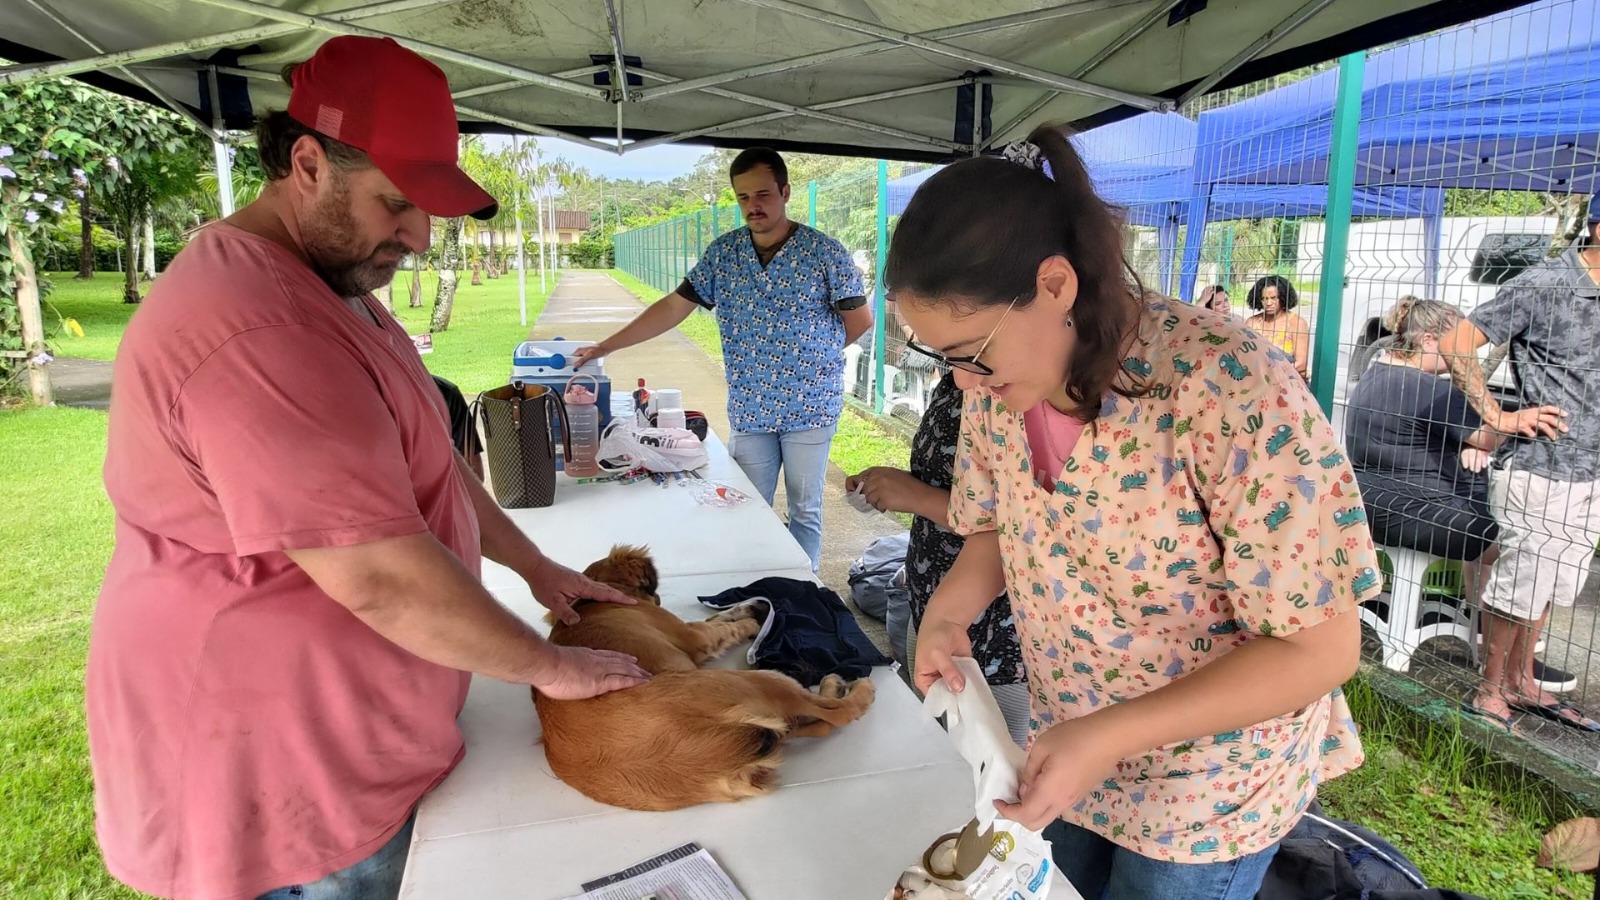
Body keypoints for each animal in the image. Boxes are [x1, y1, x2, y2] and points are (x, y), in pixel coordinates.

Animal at [537, 544, 883, 810]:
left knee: (813, 724)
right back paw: (846, 688)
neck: (593, 601)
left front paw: (747, 609)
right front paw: (751, 623)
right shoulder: (693, 638)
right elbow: (721, 629)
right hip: (753, 680)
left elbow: (718, 620)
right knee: (835, 715)